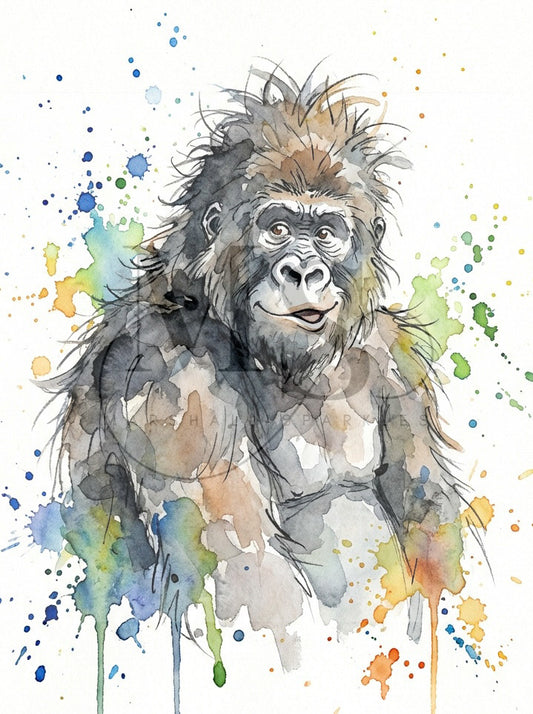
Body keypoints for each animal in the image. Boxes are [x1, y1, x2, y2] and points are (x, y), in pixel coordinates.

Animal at [48, 65, 467, 714]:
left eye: (326, 233)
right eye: (277, 229)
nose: (304, 272)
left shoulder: (390, 356)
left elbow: (432, 526)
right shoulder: (174, 381)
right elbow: (251, 578)